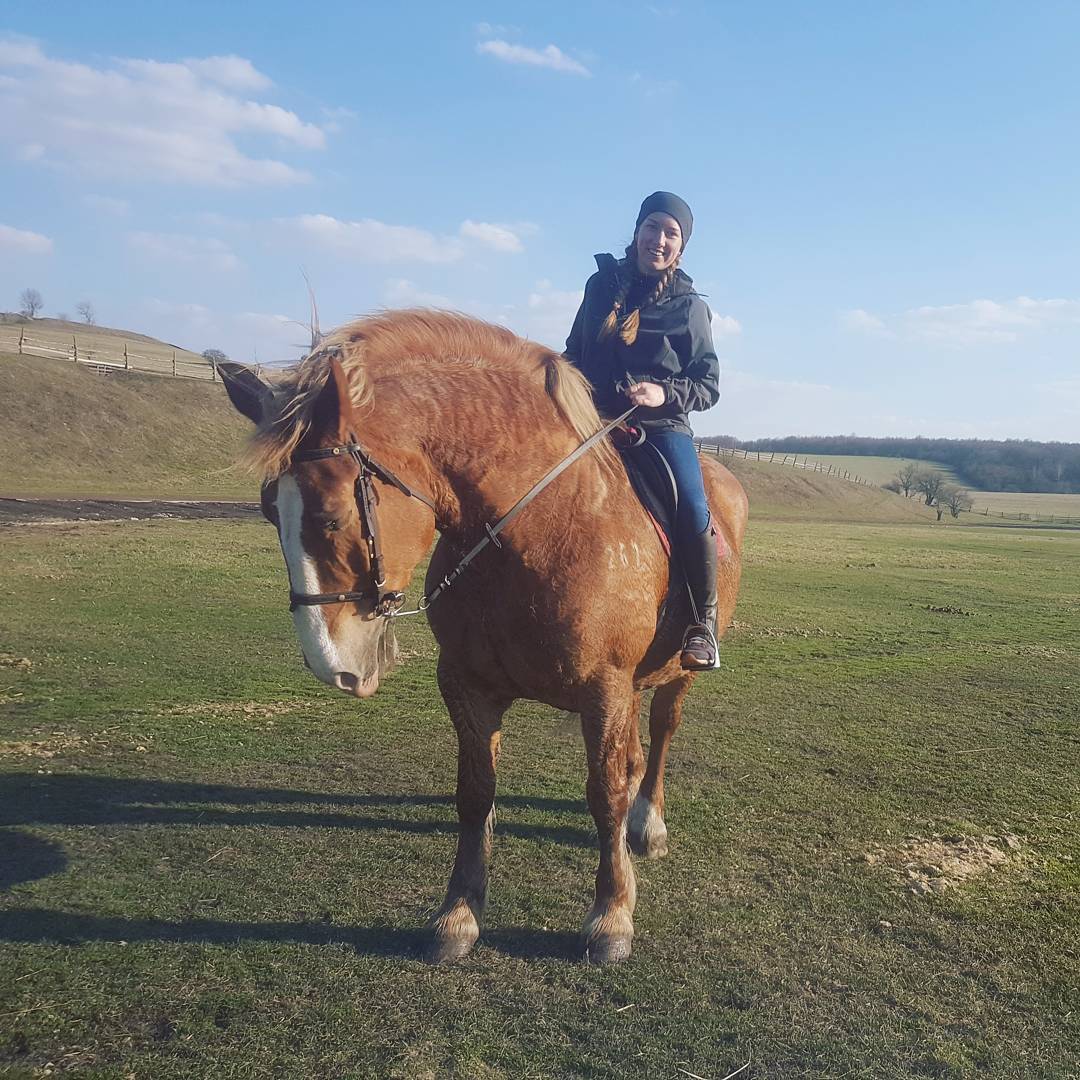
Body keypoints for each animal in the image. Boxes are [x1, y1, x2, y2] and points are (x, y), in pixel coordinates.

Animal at [219, 308, 743, 967]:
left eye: (331, 516)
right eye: (269, 511)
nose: (331, 662)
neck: (538, 527)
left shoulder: (604, 689)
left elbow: (604, 794)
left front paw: (611, 915)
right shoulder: (467, 685)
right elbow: (475, 795)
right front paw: (459, 914)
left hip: (676, 673)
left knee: (661, 733)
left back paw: (646, 824)